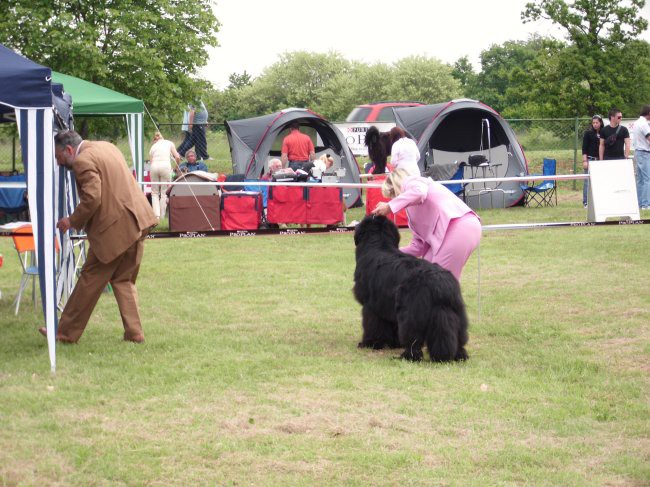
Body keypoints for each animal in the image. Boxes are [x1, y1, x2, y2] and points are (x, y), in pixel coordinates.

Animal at [352, 215, 468, 360]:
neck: (378, 245)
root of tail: (441, 284)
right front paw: (393, 344)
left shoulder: (371, 306)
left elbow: (373, 325)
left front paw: (370, 343)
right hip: (456, 311)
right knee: (459, 337)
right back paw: (460, 355)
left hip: (411, 315)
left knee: (413, 339)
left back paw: (407, 356)